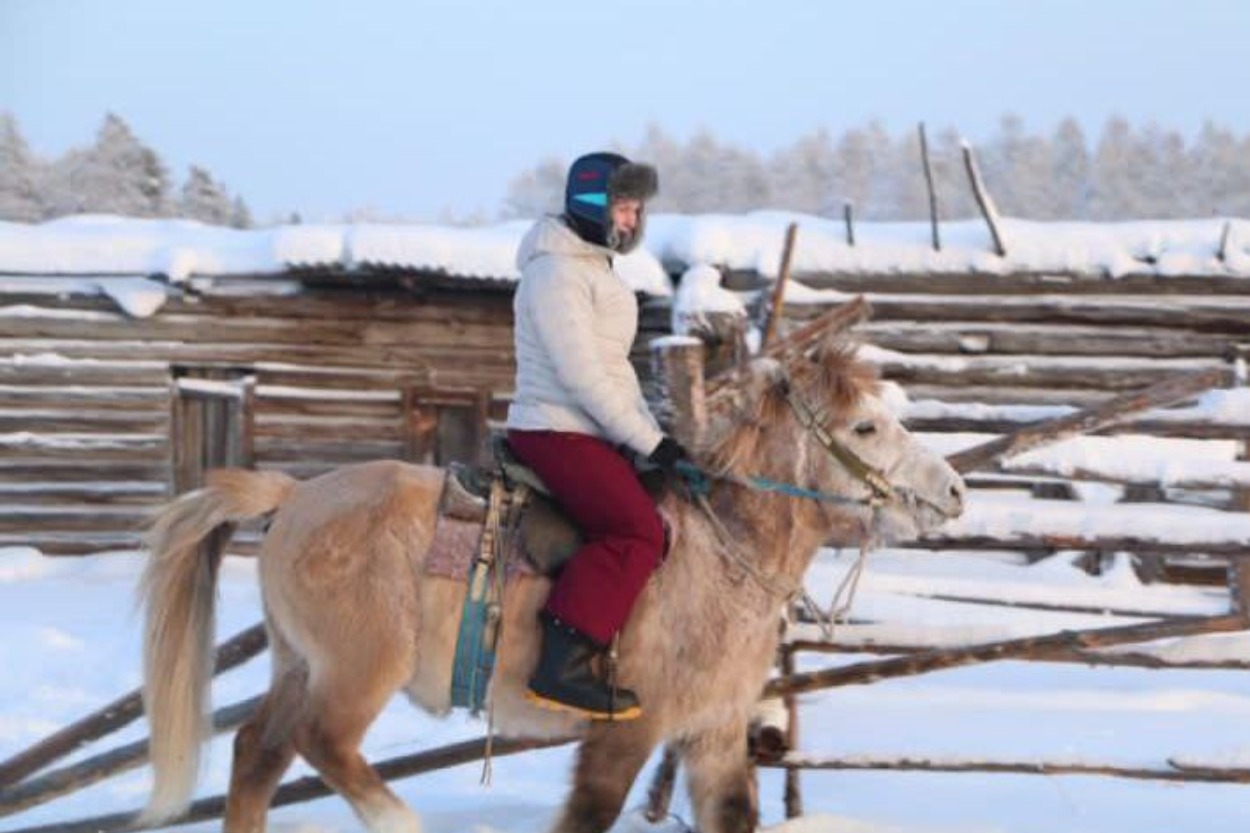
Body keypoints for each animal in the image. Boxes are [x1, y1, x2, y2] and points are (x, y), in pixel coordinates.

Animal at [136, 342, 960, 830]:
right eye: (863, 428)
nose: (952, 490)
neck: (719, 555)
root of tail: (295, 496)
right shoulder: (627, 732)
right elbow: (590, 814)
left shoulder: (715, 734)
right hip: (356, 672)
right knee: (321, 743)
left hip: (297, 664)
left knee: (257, 752)